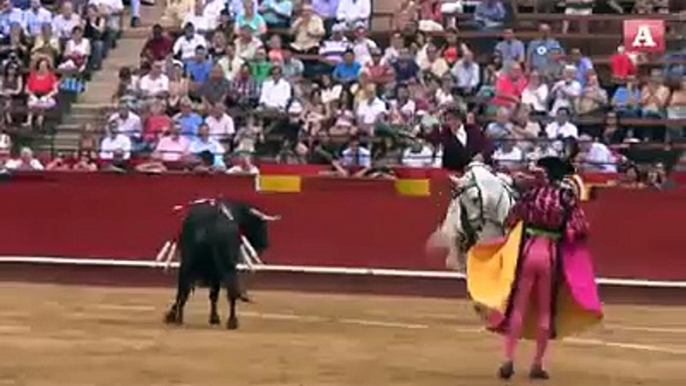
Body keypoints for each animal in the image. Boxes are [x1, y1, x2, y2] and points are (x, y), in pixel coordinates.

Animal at [165, 201, 272, 330]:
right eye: (262, 224)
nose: (265, 243)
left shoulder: (212, 270)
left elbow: (212, 294)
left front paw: (213, 317)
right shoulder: (219, 269)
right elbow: (216, 293)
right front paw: (215, 318)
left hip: (187, 262)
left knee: (182, 289)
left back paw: (178, 318)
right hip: (224, 266)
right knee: (230, 290)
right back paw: (232, 321)